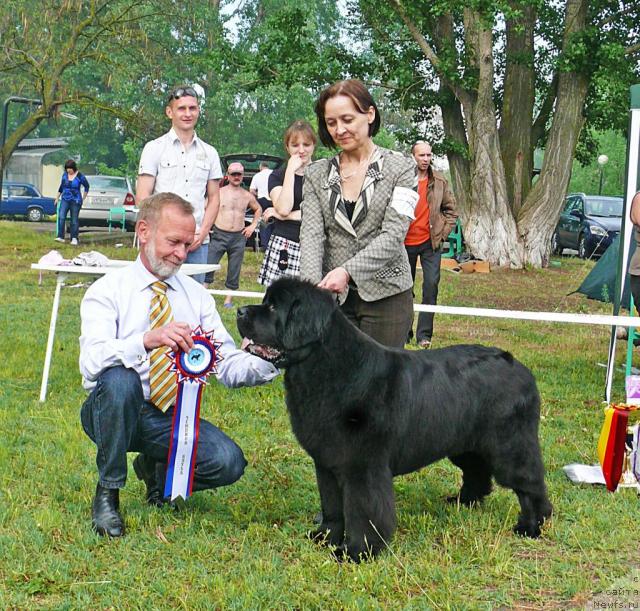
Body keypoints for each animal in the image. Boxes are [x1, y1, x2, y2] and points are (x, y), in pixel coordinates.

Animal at [235, 280, 552, 560]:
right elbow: (332, 505)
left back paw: (532, 525)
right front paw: (324, 537)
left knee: (529, 482)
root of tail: (517, 365)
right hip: (465, 442)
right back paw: (464, 503)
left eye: (273, 307)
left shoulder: (362, 466)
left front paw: (357, 552)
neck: (328, 369)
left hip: (509, 444)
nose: (239, 311)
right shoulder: (326, 461)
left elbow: (363, 511)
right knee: (477, 471)